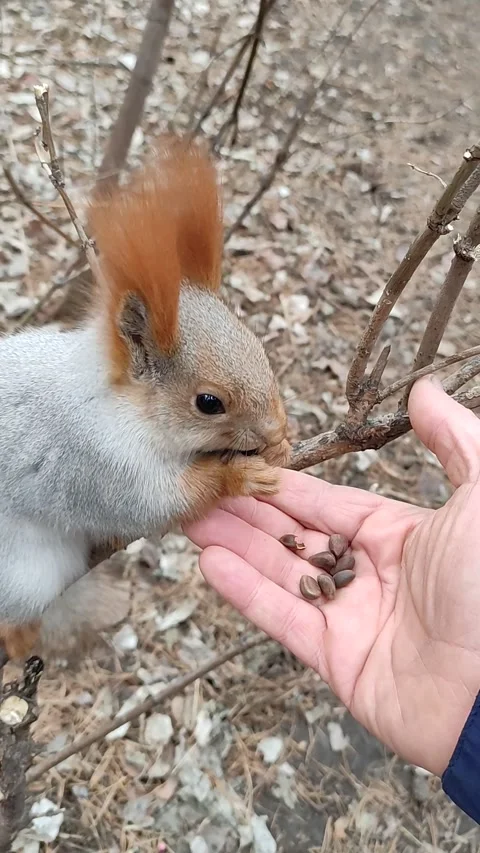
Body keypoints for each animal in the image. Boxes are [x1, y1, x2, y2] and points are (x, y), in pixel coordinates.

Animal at [0, 135, 290, 662]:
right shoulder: (96, 464)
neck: (122, 405)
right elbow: (158, 502)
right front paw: (238, 475)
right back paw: (20, 635)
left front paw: (281, 445)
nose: (275, 428)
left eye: (259, 346)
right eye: (209, 402)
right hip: (24, 571)